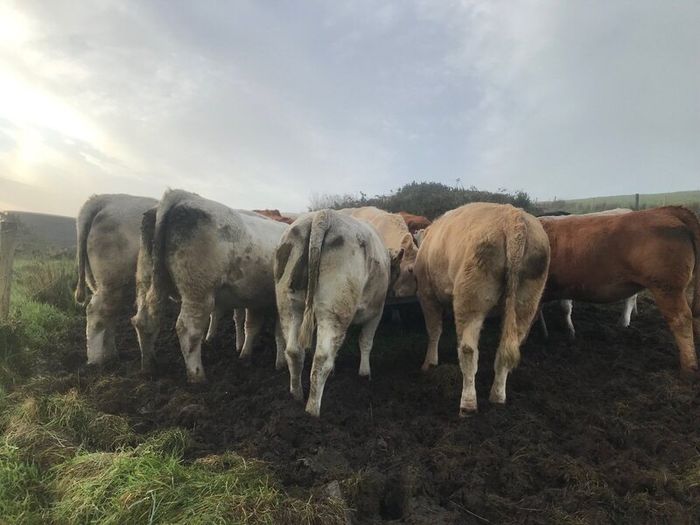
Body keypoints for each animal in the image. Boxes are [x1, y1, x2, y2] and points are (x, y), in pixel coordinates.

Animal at [75, 194, 158, 365]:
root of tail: (105, 199)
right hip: (111, 279)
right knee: (96, 312)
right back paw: (95, 361)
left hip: (112, 284)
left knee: (109, 313)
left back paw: (110, 355)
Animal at [131, 189, 288, 382]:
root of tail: (181, 197)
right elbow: (279, 332)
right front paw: (281, 364)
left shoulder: (255, 300)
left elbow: (253, 326)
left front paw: (246, 355)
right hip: (198, 291)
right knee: (188, 329)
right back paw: (197, 376)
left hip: (146, 280)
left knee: (144, 321)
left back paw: (149, 366)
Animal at [274, 209, 402, 417]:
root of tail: (323, 215)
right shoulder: (376, 311)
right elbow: (366, 342)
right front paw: (365, 372)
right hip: (334, 310)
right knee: (321, 358)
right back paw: (312, 410)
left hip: (289, 305)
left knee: (294, 351)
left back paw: (297, 395)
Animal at [415, 203, 550, 416]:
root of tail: (513, 219)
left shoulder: (427, 295)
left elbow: (434, 331)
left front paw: (430, 363)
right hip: (526, 300)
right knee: (505, 351)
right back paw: (498, 396)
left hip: (471, 300)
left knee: (468, 350)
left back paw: (468, 403)